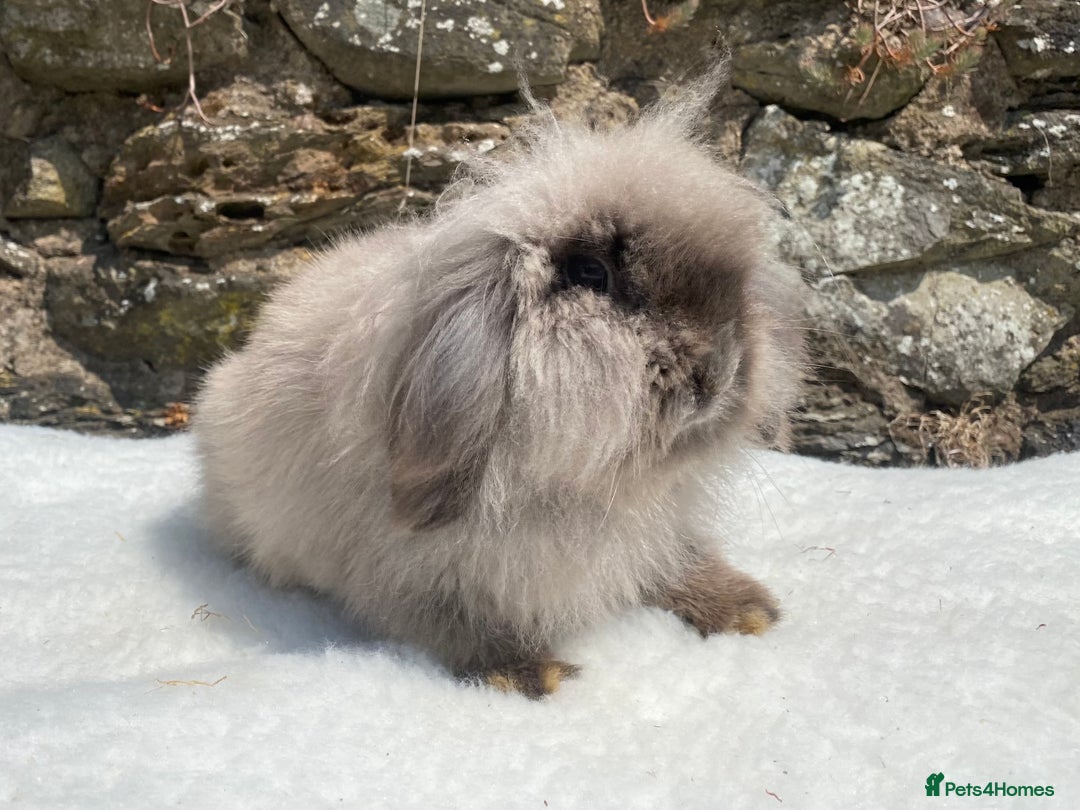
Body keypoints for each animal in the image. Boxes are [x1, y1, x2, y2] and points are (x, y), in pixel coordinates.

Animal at [193, 59, 805, 698]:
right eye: (592, 272)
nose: (719, 371)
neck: (580, 487)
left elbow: (678, 562)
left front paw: (748, 611)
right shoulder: (414, 574)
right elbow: (462, 627)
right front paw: (535, 675)